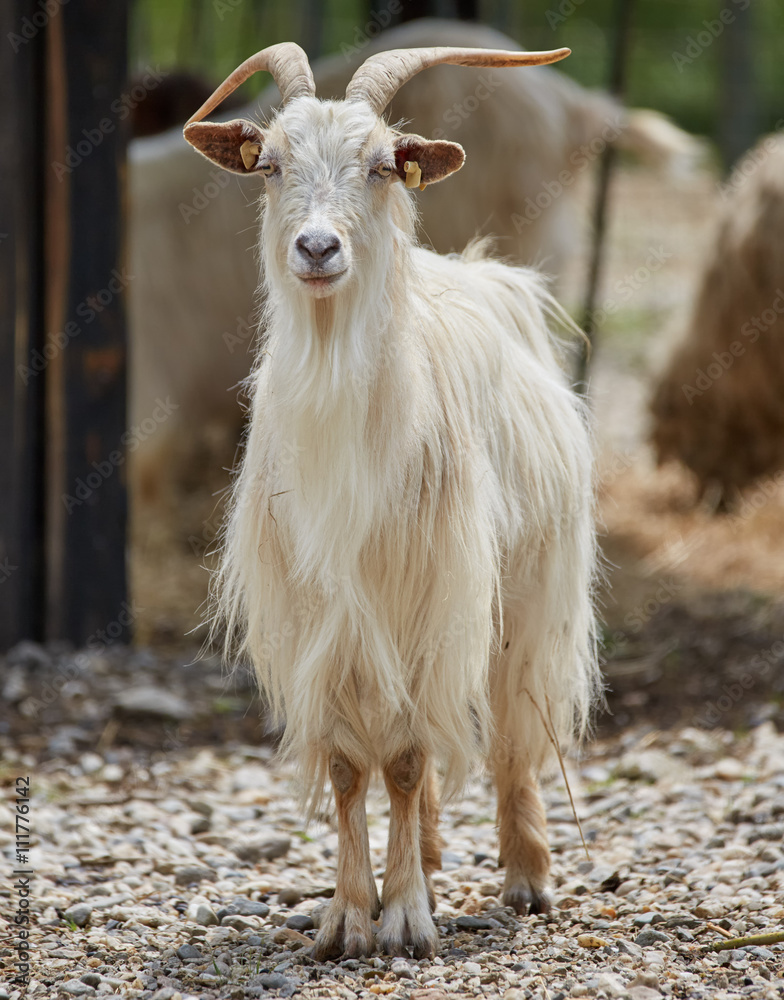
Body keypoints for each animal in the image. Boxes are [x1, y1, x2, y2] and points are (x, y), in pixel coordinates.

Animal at [183, 40, 599, 959]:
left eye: (380, 165)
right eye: (269, 164)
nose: (317, 247)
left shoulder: (433, 593)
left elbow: (406, 758)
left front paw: (405, 918)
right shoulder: (325, 615)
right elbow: (350, 767)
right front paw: (348, 915)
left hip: (528, 590)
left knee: (515, 730)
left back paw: (526, 877)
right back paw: (436, 860)